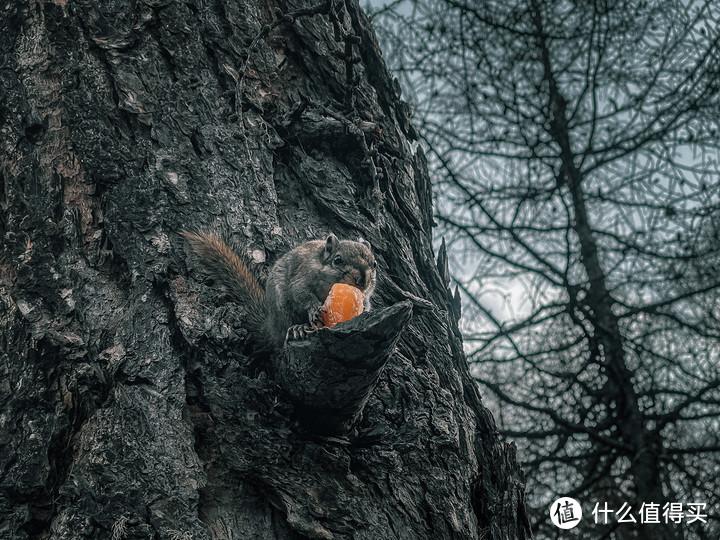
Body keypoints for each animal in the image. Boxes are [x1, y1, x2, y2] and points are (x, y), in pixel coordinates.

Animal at [180, 231, 376, 350]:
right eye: (338, 260)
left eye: (374, 264)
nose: (362, 281)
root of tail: (271, 325)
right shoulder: (302, 277)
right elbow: (301, 294)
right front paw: (314, 309)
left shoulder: (365, 296)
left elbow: (365, 303)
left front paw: (364, 311)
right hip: (282, 308)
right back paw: (298, 328)